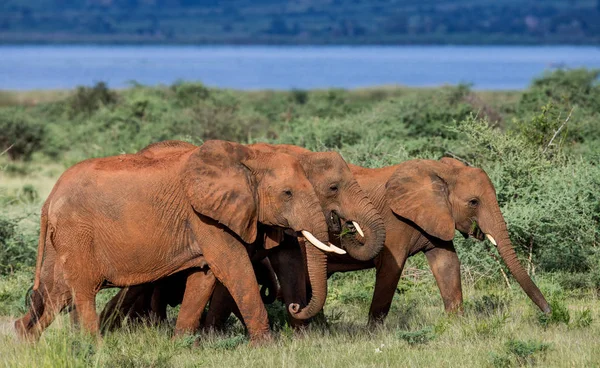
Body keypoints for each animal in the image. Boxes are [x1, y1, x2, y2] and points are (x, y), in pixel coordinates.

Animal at [14, 139, 340, 342]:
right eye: (287, 193)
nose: (294, 307)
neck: (247, 156)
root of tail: (50, 198)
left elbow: (204, 276)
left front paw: (181, 345)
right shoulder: (204, 217)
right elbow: (234, 268)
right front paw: (265, 347)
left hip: (62, 238)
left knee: (56, 291)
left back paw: (25, 342)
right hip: (77, 232)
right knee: (82, 290)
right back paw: (95, 348)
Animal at [101, 143, 386, 330]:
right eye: (333, 188)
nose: (347, 227)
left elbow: (289, 260)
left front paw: (303, 335)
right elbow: (234, 268)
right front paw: (212, 336)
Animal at [326, 157, 552, 324]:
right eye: (474, 202)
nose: (549, 311)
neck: (442, 172)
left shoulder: (437, 215)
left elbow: (447, 264)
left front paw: (457, 325)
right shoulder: (394, 220)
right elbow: (391, 269)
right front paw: (374, 333)